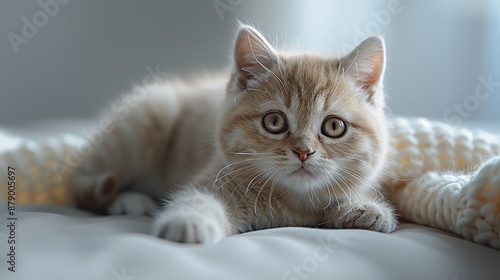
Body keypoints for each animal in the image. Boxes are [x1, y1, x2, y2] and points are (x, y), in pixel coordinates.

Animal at [71, 24, 398, 243]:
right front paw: (188, 222)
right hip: (151, 115)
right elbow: (197, 198)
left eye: (333, 126)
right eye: (274, 122)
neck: (292, 204)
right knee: (82, 185)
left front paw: (365, 208)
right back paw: (129, 201)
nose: (303, 151)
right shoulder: (217, 177)